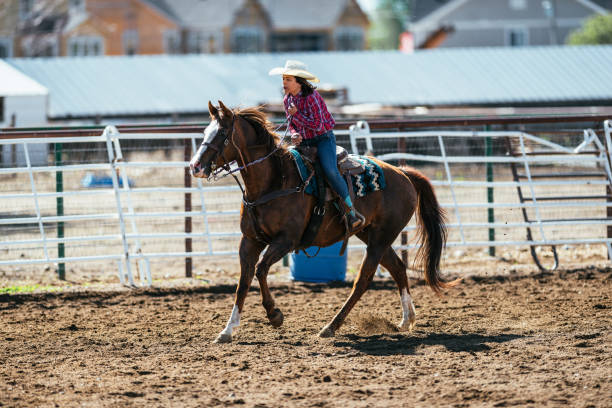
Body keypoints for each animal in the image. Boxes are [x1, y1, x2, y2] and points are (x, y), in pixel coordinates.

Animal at [191, 100, 460, 342]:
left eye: (222, 133)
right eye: (204, 132)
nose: (195, 166)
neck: (274, 181)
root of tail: (403, 173)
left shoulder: (285, 241)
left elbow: (260, 270)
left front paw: (275, 315)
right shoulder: (249, 241)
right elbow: (243, 282)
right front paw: (227, 330)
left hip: (382, 237)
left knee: (363, 280)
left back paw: (331, 326)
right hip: (372, 235)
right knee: (397, 268)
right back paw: (406, 319)